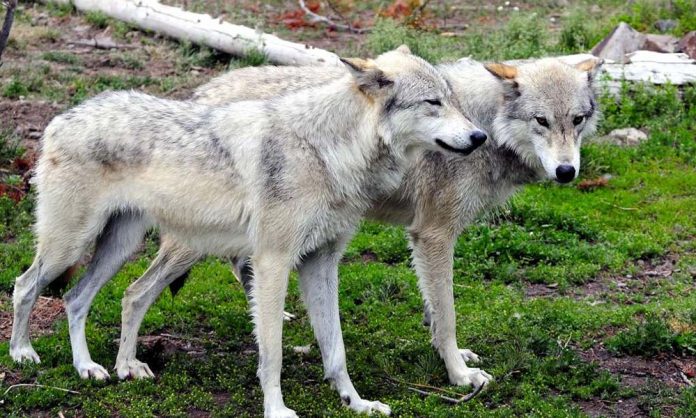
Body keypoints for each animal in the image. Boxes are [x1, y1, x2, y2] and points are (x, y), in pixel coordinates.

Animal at [10, 47, 486, 416]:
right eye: (432, 103)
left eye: (453, 100)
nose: (480, 136)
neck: (328, 151)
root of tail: (61, 117)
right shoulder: (273, 262)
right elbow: (271, 353)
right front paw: (276, 409)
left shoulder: (321, 264)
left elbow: (336, 350)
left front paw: (357, 403)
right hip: (70, 244)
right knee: (25, 285)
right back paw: (23, 353)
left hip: (122, 246)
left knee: (86, 298)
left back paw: (101, 368)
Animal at [111, 52, 600, 402]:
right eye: (541, 121)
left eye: (577, 120)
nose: (566, 172)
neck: (485, 125)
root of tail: (202, 92)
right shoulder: (434, 234)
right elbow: (447, 313)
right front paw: (459, 374)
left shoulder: (426, 241)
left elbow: (434, 308)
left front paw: (447, 352)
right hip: (194, 241)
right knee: (139, 291)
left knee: (240, 266)